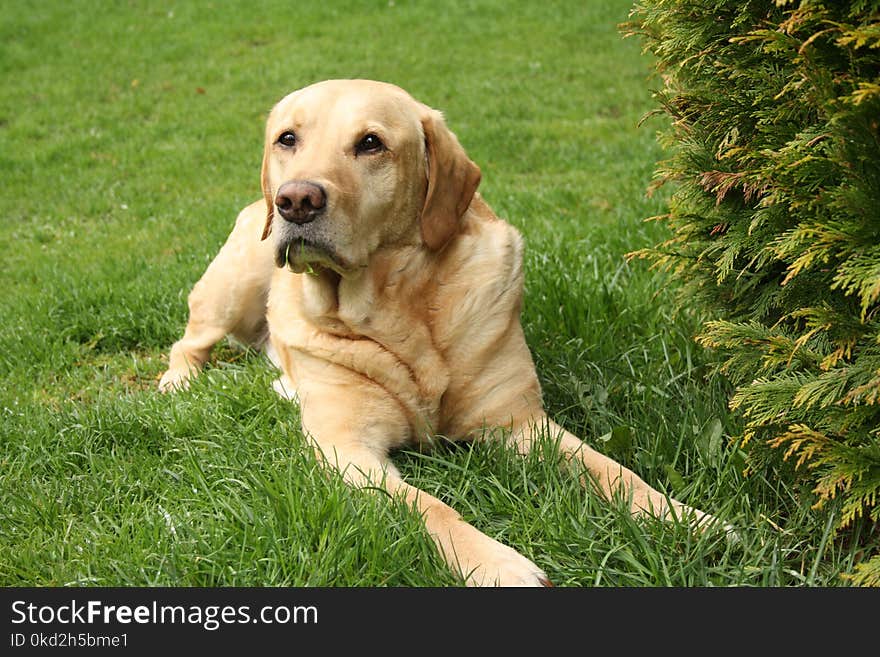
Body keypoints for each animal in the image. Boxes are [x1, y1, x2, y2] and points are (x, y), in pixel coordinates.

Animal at [162, 78, 724, 584]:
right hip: (235, 284)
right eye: (287, 139)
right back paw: (178, 383)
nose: (295, 200)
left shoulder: (522, 424)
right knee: (189, 341)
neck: (396, 312)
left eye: (371, 143)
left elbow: (613, 471)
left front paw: (688, 519)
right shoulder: (348, 449)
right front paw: (498, 564)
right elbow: (430, 507)